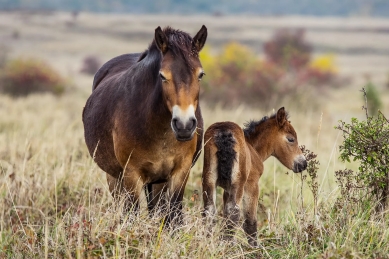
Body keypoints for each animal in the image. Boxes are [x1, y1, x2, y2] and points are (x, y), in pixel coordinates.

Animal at [82, 26, 206, 225]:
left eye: (200, 74)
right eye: (162, 76)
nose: (184, 125)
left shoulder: (180, 172)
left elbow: (173, 215)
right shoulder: (131, 175)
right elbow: (131, 214)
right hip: (115, 177)